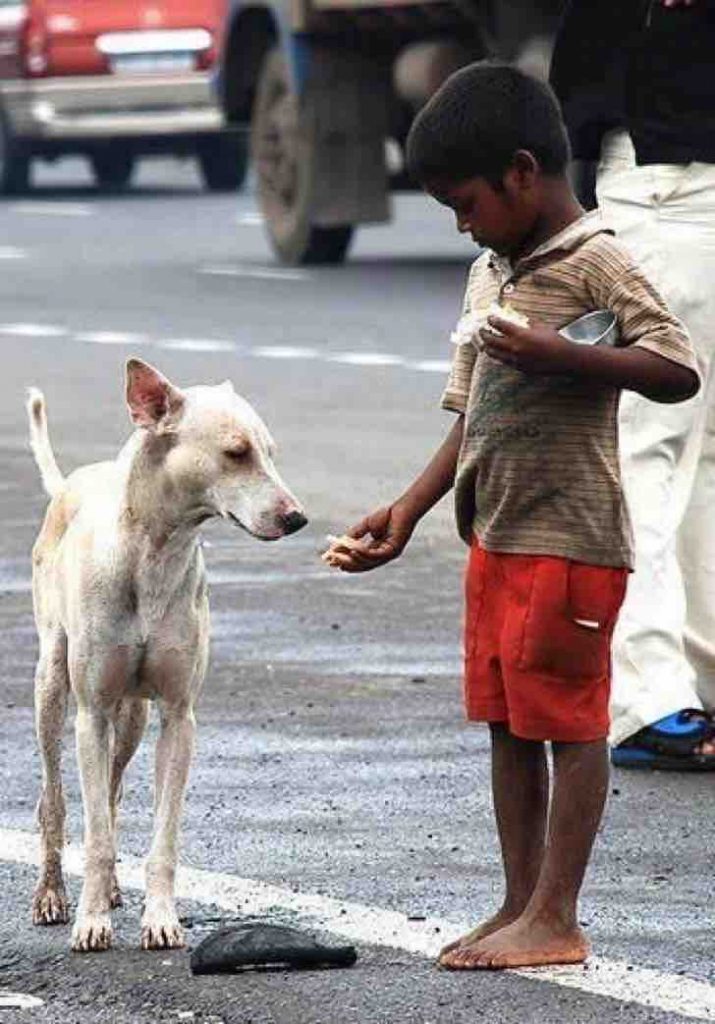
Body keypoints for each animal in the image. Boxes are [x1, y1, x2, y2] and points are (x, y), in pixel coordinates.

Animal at [26, 360, 305, 950]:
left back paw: (108, 888)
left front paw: (159, 918)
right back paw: (52, 893)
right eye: (236, 452)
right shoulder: (91, 714)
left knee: (110, 793)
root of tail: (71, 483)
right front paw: (90, 922)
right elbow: (95, 835)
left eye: (270, 451)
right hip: (52, 687)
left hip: (133, 715)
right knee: (55, 800)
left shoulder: (179, 717)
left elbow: (162, 833)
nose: (298, 518)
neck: (152, 554)